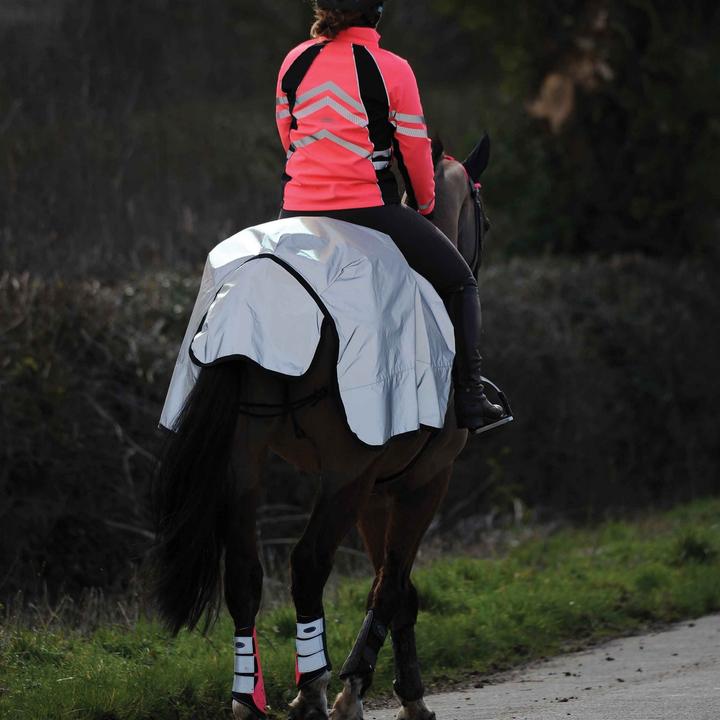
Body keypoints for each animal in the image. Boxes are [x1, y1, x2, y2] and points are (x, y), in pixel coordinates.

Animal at [152, 135, 495, 720]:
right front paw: (360, 689)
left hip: (244, 459)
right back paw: (311, 687)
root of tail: (258, 283)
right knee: (309, 562)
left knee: (243, 571)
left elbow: (398, 591)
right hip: (345, 470)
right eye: (485, 218)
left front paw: (405, 692)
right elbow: (391, 587)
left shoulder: (379, 490)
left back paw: (248, 698)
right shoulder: (423, 480)